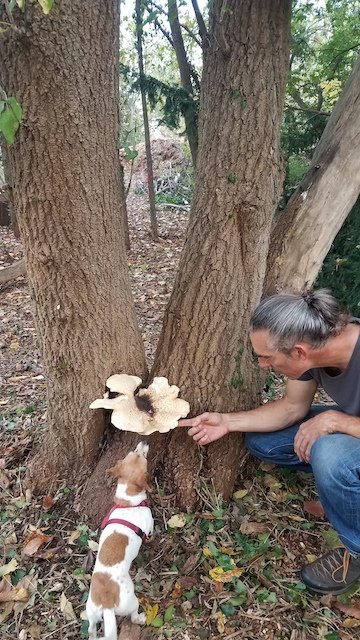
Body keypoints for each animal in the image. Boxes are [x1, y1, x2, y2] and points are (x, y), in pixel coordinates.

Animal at [87, 442, 155, 636]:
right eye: (140, 455)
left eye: (131, 452)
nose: (144, 441)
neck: (128, 501)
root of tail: (107, 602)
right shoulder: (150, 523)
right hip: (131, 601)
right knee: (133, 614)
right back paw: (140, 618)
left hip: (91, 612)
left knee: (91, 629)